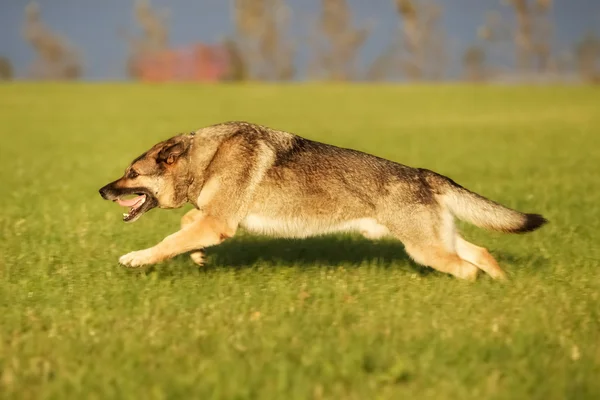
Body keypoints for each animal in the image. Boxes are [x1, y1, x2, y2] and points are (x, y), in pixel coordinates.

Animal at [99, 120, 548, 280]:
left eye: (132, 174)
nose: (102, 190)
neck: (206, 159)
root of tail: (421, 173)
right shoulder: (214, 220)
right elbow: (183, 229)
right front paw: (197, 257)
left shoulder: (218, 222)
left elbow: (166, 242)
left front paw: (136, 258)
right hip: (436, 241)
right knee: (483, 253)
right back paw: (504, 288)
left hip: (426, 250)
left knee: (467, 268)